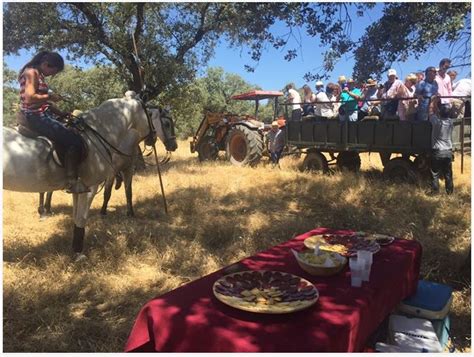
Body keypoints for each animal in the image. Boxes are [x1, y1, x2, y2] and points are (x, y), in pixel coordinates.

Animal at [1, 92, 168, 256]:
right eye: (150, 113)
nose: (153, 137)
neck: (99, 132)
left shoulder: (77, 190)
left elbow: (76, 217)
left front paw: (74, 248)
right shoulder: (90, 187)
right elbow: (81, 218)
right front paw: (78, 252)